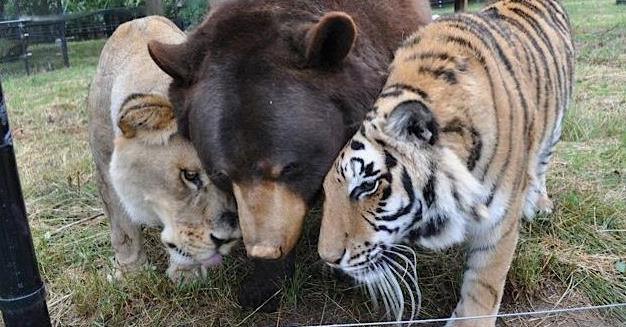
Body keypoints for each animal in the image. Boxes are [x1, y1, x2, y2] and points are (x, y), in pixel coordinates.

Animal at [85, 16, 236, 282]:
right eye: (189, 175)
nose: (226, 239)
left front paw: (186, 273)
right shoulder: (105, 170)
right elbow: (123, 229)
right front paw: (131, 273)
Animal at [316, 1, 572, 326]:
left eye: (367, 186)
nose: (328, 259)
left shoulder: (498, 226)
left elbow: (482, 289)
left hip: (555, 126)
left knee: (541, 164)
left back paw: (539, 203)